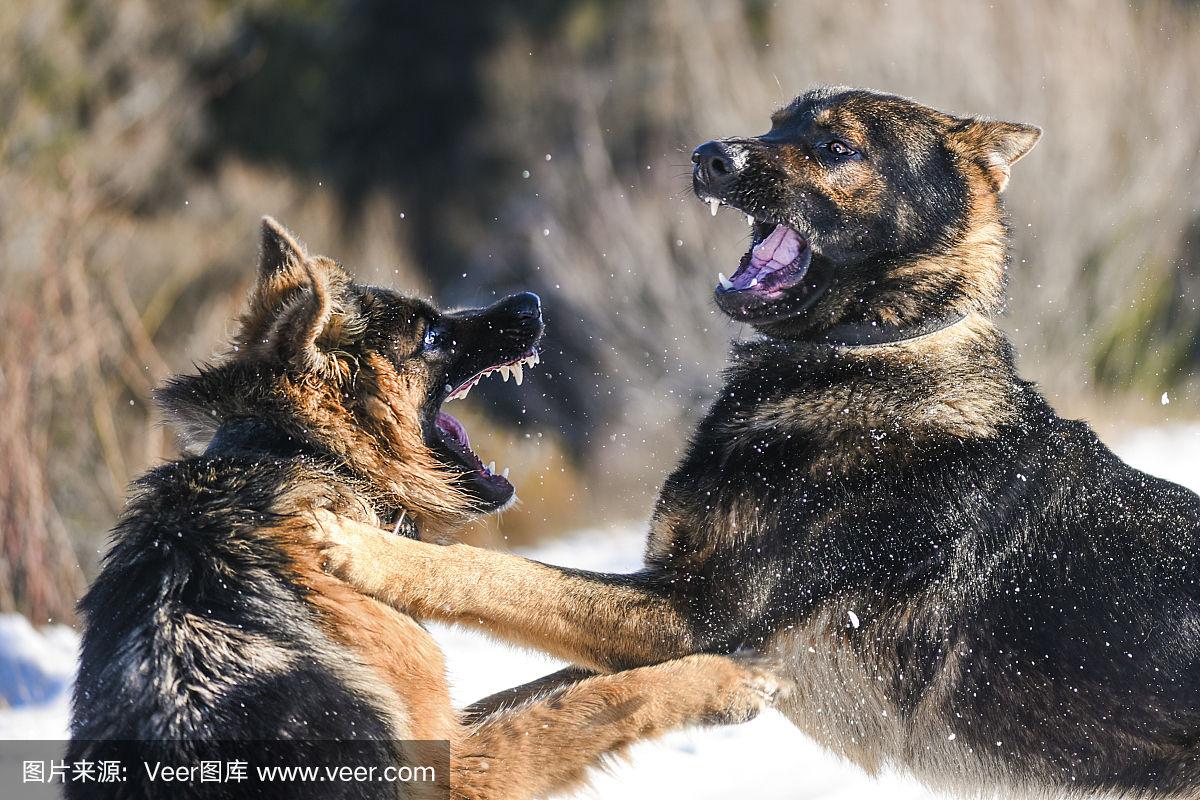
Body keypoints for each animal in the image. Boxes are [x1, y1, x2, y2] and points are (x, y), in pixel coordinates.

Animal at [65, 217, 782, 800]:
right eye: (433, 332)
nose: (530, 300)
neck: (302, 454)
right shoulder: (454, 766)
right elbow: (584, 704)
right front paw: (720, 681)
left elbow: (545, 686)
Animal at [316, 87, 1200, 800]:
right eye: (779, 123)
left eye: (836, 148)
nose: (711, 156)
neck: (863, 353)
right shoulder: (671, 622)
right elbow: (517, 701)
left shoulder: (689, 616)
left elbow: (498, 573)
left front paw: (362, 550)